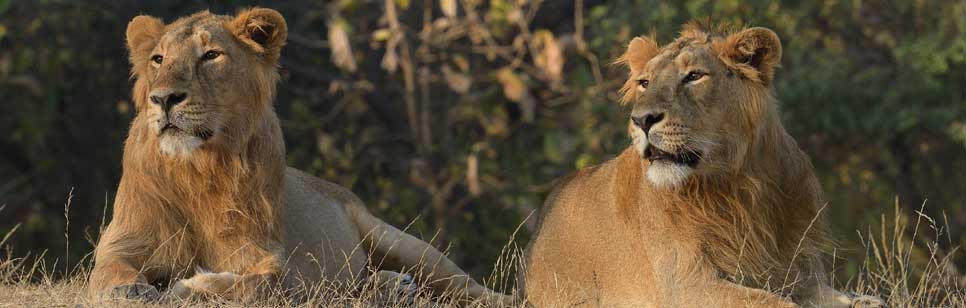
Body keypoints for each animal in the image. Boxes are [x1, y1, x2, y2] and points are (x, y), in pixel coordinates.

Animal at [88, 8, 510, 304]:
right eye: (158, 59)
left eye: (211, 55)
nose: (163, 99)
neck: (199, 168)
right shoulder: (123, 241)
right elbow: (110, 271)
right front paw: (129, 291)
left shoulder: (271, 256)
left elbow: (258, 284)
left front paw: (189, 286)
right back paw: (393, 287)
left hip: (400, 242)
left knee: (473, 290)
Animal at [520, 22, 884, 308]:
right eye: (644, 83)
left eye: (694, 76)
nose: (641, 120)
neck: (738, 182)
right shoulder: (684, 285)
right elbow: (775, 302)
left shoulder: (801, 275)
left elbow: (860, 299)